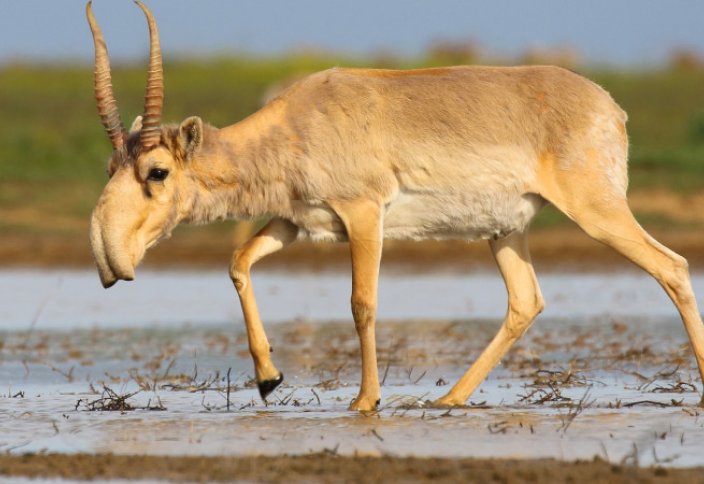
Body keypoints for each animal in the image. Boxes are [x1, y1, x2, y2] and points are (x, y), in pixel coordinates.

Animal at [88, 1, 704, 410]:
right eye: (111, 166)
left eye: (157, 171)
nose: (108, 259)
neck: (296, 122)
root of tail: (610, 107)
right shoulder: (295, 221)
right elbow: (237, 263)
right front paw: (268, 378)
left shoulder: (364, 215)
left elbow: (362, 303)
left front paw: (365, 401)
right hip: (505, 231)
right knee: (525, 301)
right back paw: (448, 399)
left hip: (598, 213)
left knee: (671, 266)